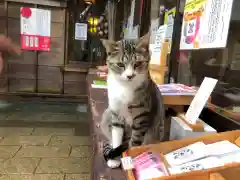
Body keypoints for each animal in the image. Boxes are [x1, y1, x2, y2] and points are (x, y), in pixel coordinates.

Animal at [100, 33, 166, 169]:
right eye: (120, 65)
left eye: (138, 63)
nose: (130, 76)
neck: (125, 87)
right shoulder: (116, 113)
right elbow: (116, 136)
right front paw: (114, 159)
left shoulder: (142, 115)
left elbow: (135, 140)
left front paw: (130, 158)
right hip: (107, 114)